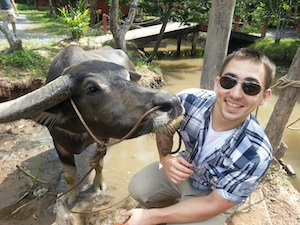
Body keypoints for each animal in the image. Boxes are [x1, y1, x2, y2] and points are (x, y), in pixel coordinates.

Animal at [0, 45, 184, 204]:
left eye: (127, 78)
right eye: (92, 89)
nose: (173, 102)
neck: (78, 130)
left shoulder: (102, 138)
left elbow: (99, 164)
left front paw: (98, 185)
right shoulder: (59, 143)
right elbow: (70, 175)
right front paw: (70, 197)